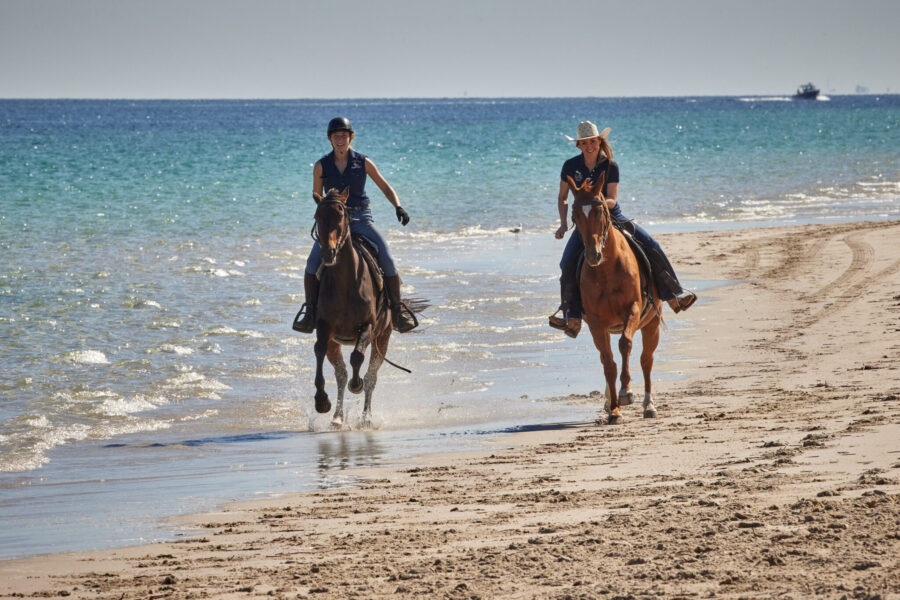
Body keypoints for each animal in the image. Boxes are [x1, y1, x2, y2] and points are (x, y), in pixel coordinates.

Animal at [309, 187, 393, 428]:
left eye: (340, 216)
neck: (346, 282)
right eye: (318, 217)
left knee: (371, 377)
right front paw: (321, 401)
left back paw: (366, 418)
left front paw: (357, 385)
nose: (327, 253)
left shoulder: (368, 327)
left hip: (382, 338)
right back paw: (337, 417)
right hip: (335, 343)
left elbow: (357, 357)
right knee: (341, 375)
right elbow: (319, 351)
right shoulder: (324, 327)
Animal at [568, 174, 664, 424]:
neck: (606, 270)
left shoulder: (634, 309)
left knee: (646, 360)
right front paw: (614, 410)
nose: (593, 255)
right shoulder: (596, 323)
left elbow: (625, 344)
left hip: (652, 324)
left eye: (600, 210)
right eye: (575, 215)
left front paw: (625, 392)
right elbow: (608, 362)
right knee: (608, 359)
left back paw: (649, 405)